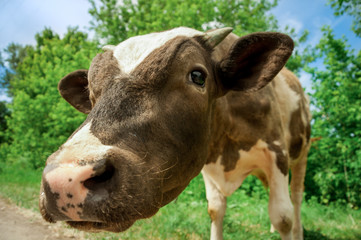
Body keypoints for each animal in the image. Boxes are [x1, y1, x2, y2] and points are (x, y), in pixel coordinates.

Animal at [38, 27, 310, 239]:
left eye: (198, 76)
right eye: (91, 91)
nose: (65, 178)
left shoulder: (276, 153)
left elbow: (283, 216)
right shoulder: (208, 164)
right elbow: (215, 210)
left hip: (302, 153)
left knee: (296, 199)